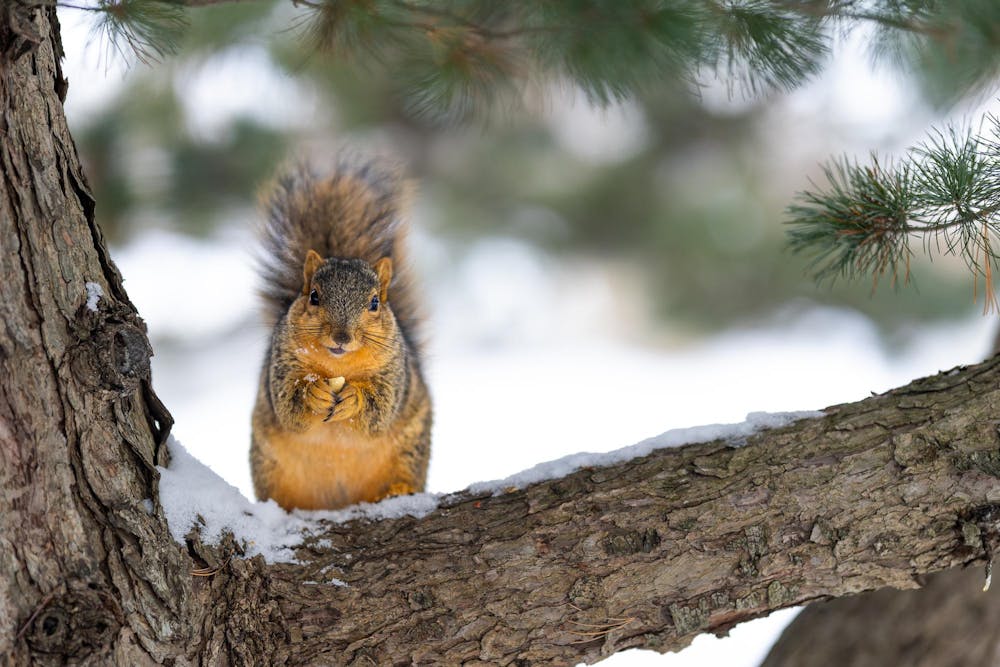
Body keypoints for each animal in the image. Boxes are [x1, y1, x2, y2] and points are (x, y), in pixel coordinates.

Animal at [250, 157, 432, 511]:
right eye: (314, 296)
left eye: (374, 302)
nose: (341, 337)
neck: (338, 365)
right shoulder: (281, 364)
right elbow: (288, 404)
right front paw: (313, 393)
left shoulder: (394, 373)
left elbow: (380, 407)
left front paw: (354, 398)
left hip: (411, 447)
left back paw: (398, 489)